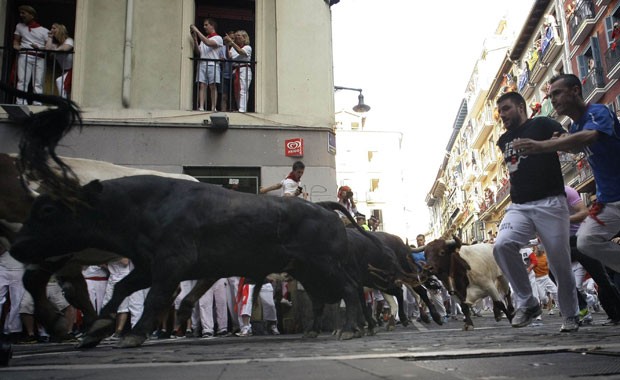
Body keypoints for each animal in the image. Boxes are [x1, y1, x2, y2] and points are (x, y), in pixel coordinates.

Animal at [10, 175, 368, 348]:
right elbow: (122, 288)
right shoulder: (147, 265)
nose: (16, 246)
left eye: (47, 210)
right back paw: (317, 331)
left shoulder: (170, 264)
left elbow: (154, 299)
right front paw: (97, 328)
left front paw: (132, 334)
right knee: (323, 299)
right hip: (308, 271)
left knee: (351, 289)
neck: (141, 205)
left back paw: (349, 329)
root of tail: (324, 209)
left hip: (326, 265)